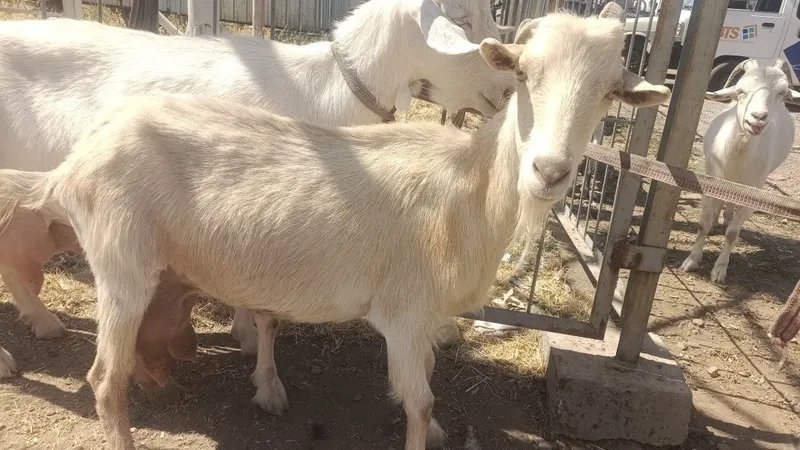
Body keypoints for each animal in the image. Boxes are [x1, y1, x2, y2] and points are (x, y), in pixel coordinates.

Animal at [680, 58, 800, 283]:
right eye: (740, 90)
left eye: (782, 93)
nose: (758, 117)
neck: (737, 156)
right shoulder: (711, 182)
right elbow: (703, 224)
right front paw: (691, 261)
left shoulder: (752, 192)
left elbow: (732, 234)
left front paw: (719, 270)